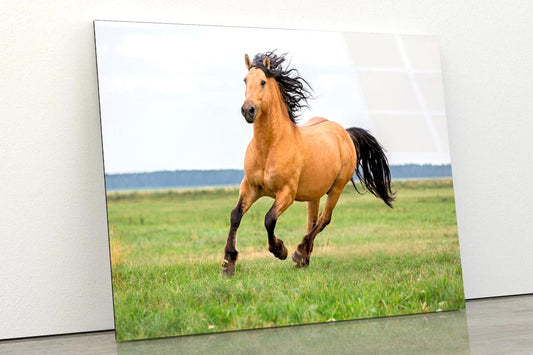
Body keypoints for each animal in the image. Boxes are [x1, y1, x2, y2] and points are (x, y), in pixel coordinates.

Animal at [220, 50, 394, 278]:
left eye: (263, 82)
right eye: (245, 80)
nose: (248, 110)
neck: (269, 147)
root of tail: (344, 133)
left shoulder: (287, 193)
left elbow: (269, 219)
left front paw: (280, 250)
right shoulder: (250, 187)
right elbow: (235, 216)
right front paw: (228, 263)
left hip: (336, 188)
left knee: (324, 219)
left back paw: (299, 253)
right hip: (314, 194)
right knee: (312, 220)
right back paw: (304, 258)